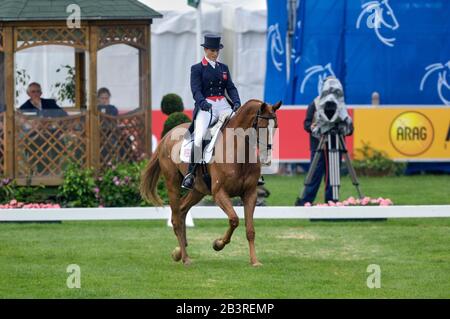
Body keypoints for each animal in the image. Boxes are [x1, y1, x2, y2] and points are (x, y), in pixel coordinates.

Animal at [141, 100, 282, 268]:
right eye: (261, 126)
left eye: (275, 127)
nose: (267, 159)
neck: (237, 150)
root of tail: (168, 135)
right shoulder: (219, 193)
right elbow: (234, 220)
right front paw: (218, 244)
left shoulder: (250, 194)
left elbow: (250, 230)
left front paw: (255, 261)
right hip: (172, 184)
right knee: (176, 218)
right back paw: (185, 259)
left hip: (198, 190)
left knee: (182, 211)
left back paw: (179, 252)